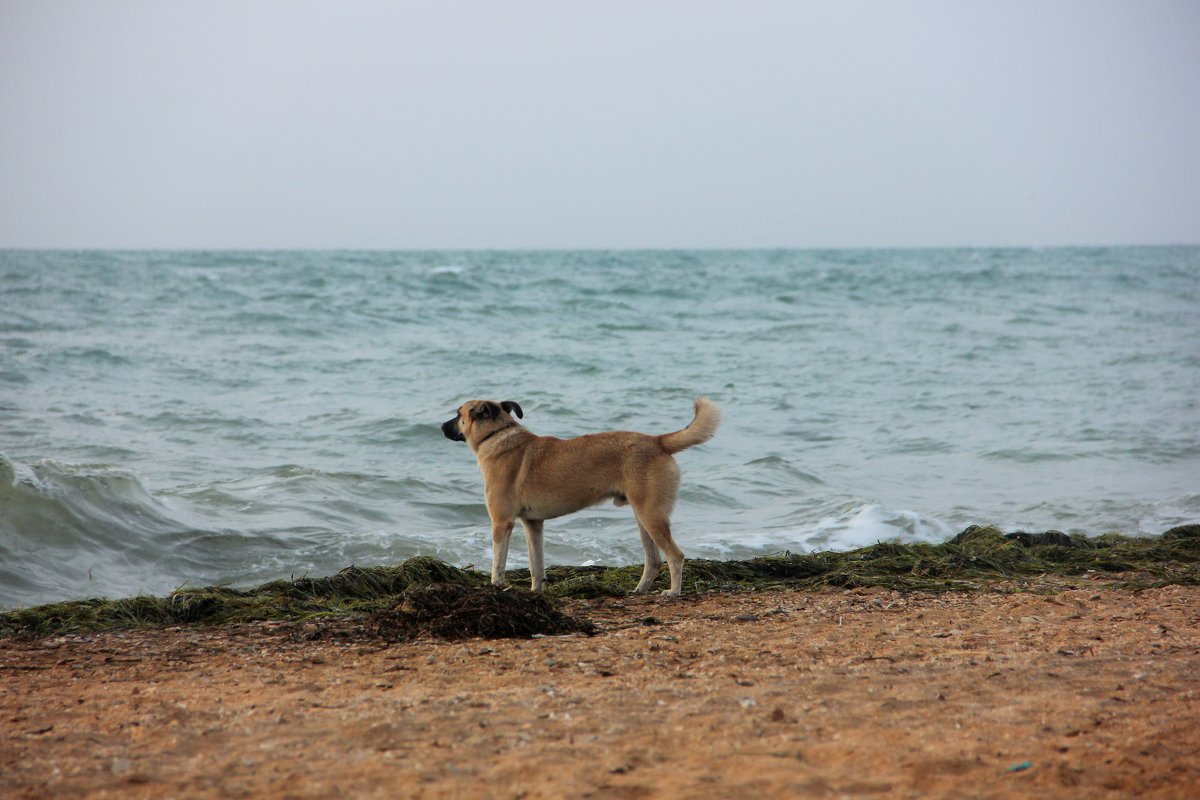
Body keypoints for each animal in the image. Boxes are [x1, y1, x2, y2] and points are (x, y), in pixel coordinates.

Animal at [446, 398, 715, 594]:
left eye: (459, 414)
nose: (441, 427)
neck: (497, 436)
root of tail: (658, 441)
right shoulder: (533, 525)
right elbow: (536, 565)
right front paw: (536, 592)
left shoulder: (501, 523)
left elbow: (498, 563)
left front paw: (495, 586)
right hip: (643, 518)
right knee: (654, 560)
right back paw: (639, 589)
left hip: (651, 516)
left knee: (675, 556)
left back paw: (673, 592)